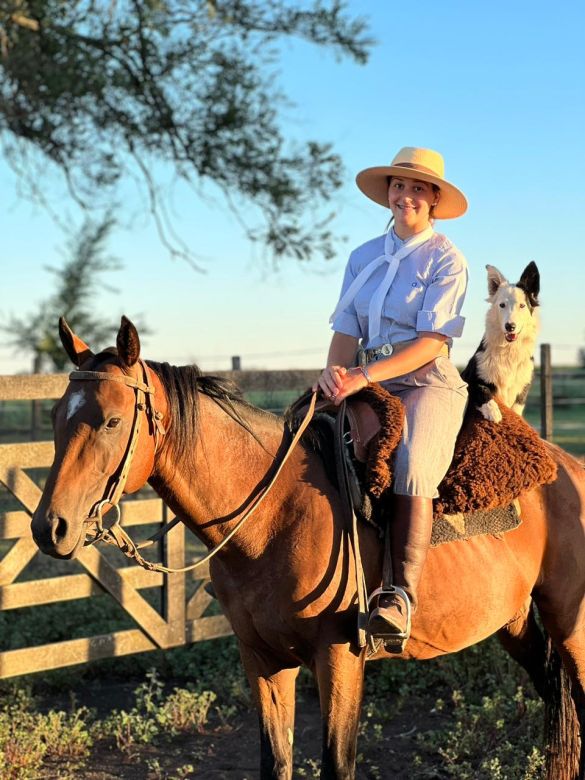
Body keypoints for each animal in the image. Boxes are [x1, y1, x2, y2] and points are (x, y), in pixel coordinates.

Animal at [33, 318, 584, 780]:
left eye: (111, 421)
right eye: (57, 414)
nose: (49, 527)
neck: (275, 515)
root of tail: (566, 465)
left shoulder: (339, 658)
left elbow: (336, 764)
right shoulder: (262, 658)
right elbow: (275, 761)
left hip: (570, 624)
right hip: (514, 621)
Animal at [460, 260, 540, 420]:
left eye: (522, 305)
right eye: (502, 305)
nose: (510, 326)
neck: (509, 350)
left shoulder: (523, 386)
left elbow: (517, 408)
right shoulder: (473, 377)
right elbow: (483, 391)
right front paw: (493, 412)